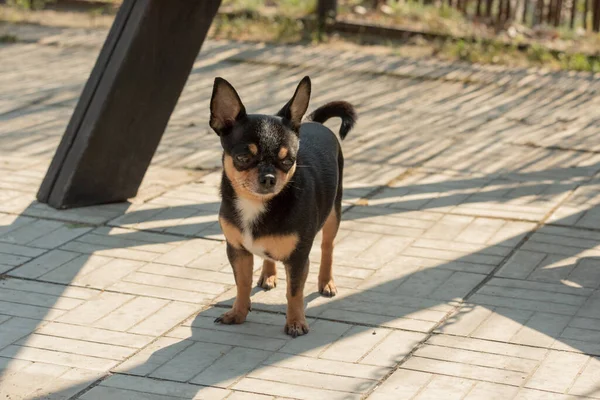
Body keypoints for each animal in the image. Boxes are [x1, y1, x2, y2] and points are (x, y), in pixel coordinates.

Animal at [210, 76, 356, 338]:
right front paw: (238, 313)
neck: (256, 205)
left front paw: (296, 322)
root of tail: (311, 120)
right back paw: (268, 275)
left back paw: (326, 282)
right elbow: (242, 284)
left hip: (333, 214)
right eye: (243, 158)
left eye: (288, 161)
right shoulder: (237, 250)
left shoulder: (298, 258)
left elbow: (294, 292)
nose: (269, 177)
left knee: (327, 248)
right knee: (268, 256)